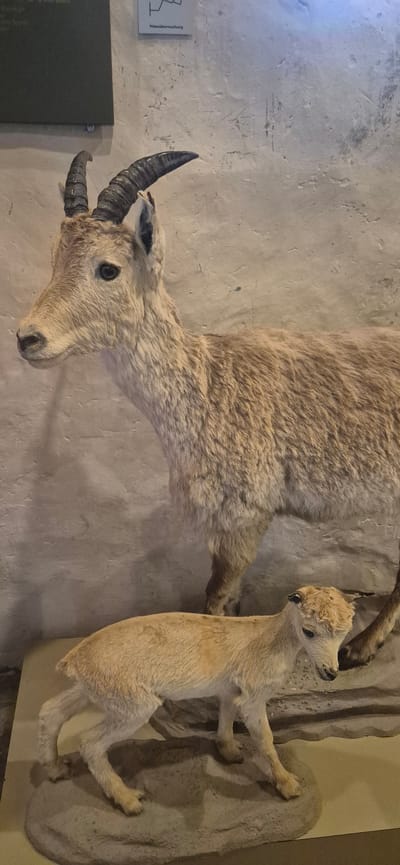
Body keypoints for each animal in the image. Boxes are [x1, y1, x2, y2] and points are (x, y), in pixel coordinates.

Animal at [17, 150, 400, 669]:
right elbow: (229, 603)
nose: (27, 338)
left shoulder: (247, 515)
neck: (206, 386)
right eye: (56, 258)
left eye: (108, 268)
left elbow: (216, 597)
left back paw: (361, 646)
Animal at [38, 585, 354, 815]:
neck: (270, 638)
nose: (330, 673)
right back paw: (128, 800)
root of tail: (72, 660)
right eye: (309, 631)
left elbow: (226, 717)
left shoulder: (229, 691)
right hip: (133, 706)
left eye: (345, 630)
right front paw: (288, 784)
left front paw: (229, 751)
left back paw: (55, 770)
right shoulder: (253, 698)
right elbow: (265, 739)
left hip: (93, 692)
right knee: (89, 743)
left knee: (50, 712)